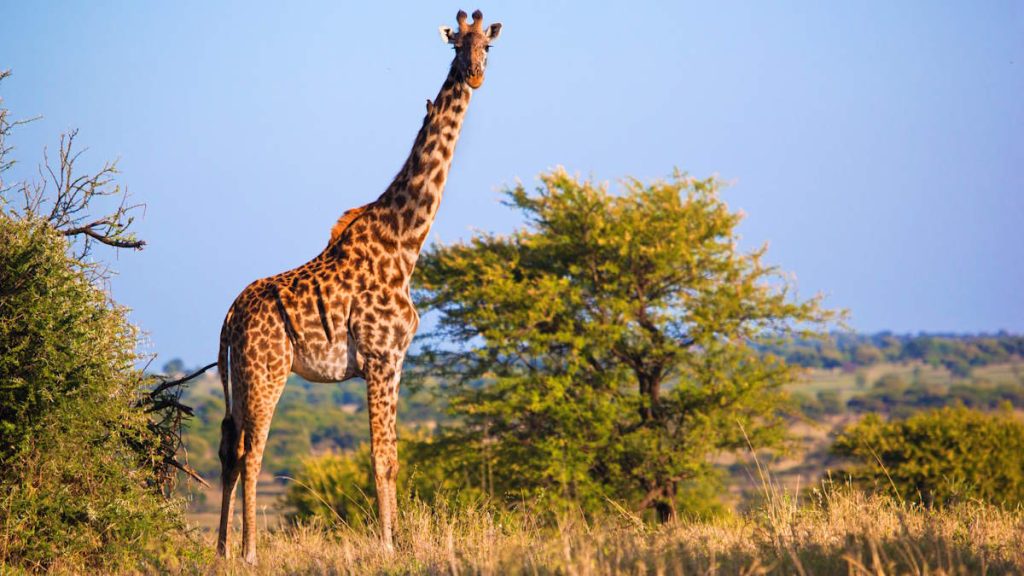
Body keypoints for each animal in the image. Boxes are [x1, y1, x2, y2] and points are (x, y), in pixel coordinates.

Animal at [215, 10, 502, 563]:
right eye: (456, 45)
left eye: (489, 47)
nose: (476, 75)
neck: (405, 243)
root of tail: (229, 318)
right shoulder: (380, 357)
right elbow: (380, 457)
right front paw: (388, 546)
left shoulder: (397, 361)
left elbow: (392, 456)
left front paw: (398, 540)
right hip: (267, 372)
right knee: (252, 451)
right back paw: (249, 551)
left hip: (237, 376)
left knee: (228, 448)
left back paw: (219, 550)